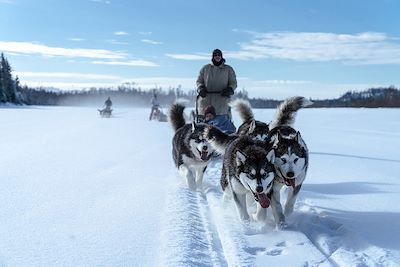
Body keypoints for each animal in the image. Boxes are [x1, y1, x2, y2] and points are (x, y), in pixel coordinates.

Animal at [268, 96, 312, 226]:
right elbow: (277, 205)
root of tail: (282, 126)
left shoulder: (297, 183)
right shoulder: (272, 188)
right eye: (283, 159)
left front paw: (287, 213)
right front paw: (281, 221)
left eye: (296, 159)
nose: (290, 174)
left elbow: (290, 201)